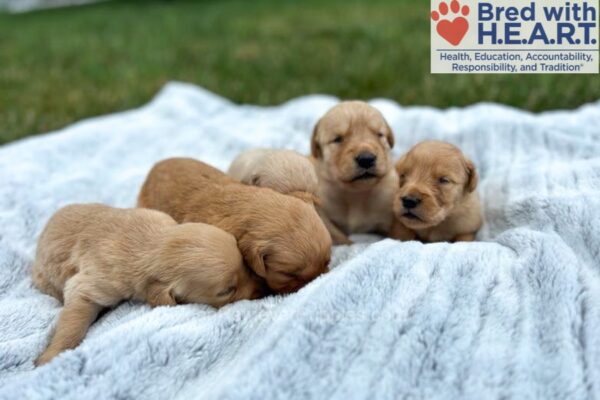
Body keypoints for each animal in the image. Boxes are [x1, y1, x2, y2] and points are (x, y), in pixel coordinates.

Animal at [32, 203, 258, 366]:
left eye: (245, 264)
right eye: (227, 291)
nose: (262, 289)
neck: (151, 245)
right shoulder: (93, 283)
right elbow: (73, 321)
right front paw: (51, 356)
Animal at [310, 100, 404, 244]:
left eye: (379, 134)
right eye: (338, 139)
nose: (366, 159)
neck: (355, 194)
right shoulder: (324, 211)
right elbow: (338, 236)